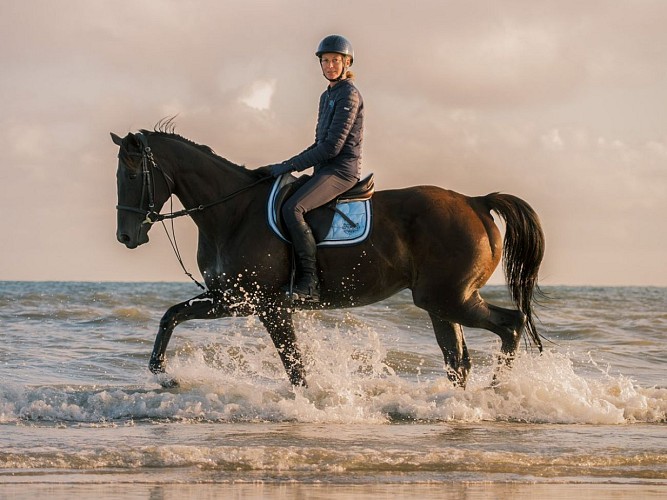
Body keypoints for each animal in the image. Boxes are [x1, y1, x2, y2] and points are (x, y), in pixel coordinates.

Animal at [110, 126, 545, 389]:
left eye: (131, 175)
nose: (126, 236)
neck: (233, 212)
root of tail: (476, 201)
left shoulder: (268, 306)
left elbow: (295, 368)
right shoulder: (233, 299)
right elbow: (171, 316)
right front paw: (164, 376)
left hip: (450, 298)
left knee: (510, 325)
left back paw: (497, 391)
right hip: (440, 303)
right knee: (458, 359)